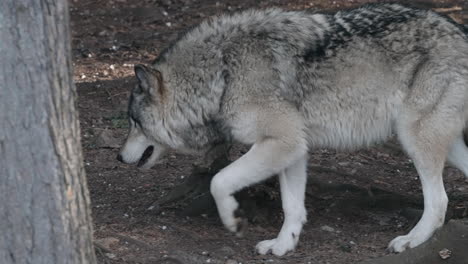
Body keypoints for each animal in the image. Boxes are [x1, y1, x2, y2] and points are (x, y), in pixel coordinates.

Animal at [118, 2, 468, 256]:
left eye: (134, 122)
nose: (119, 157)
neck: (223, 72)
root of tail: (460, 29)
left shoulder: (281, 142)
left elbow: (219, 181)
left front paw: (233, 219)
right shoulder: (295, 149)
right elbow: (293, 207)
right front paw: (283, 245)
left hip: (414, 138)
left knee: (439, 202)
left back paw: (411, 240)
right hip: (445, 145)